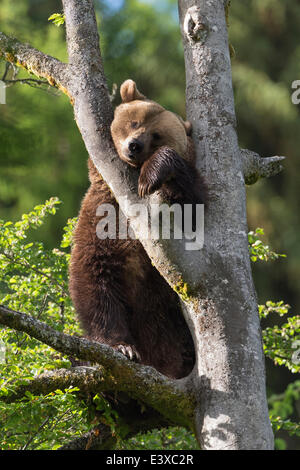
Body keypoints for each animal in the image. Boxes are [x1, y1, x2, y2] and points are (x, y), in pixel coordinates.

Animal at [69, 80, 206, 378]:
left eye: (157, 135)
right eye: (134, 122)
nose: (134, 146)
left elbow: (193, 204)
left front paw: (152, 174)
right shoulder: (101, 221)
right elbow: (95, 285)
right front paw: (122, 347)